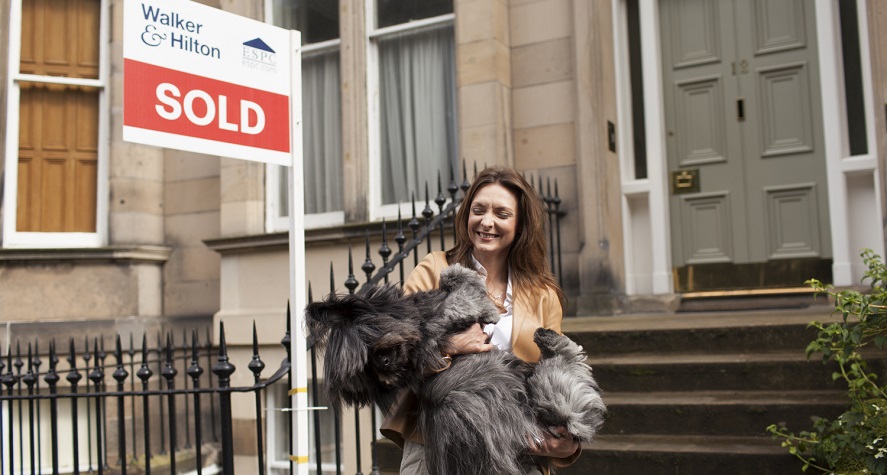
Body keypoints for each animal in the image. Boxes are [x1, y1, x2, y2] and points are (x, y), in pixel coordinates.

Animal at [304, 266, 604, 474]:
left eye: (367, 350)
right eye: (366, 369)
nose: (385, 366)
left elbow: (451, 278)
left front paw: (468, 280)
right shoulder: (437, 328)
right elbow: (457, 301)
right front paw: (485, 305)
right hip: (549, 391)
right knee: (568, 361)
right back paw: (548, 339)